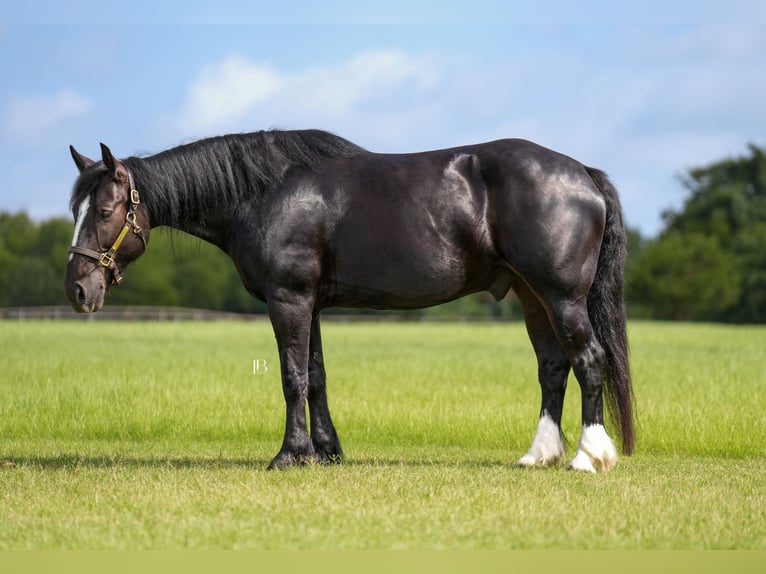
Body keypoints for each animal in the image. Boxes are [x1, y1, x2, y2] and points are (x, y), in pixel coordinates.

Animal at [64, 129, 634, 472]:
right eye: (76, 209)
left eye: (106, 211)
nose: (77, 289)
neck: (263, 193)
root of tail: (582, 173)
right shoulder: (310, 303)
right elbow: (316, 376)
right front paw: (326, 452)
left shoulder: (288, 299)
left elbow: (292, 377)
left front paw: (289, 455)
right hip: (531, 296)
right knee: (553, 367)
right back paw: (539, 455)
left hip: (562, 296)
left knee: (588, 360)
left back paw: (589, 456)